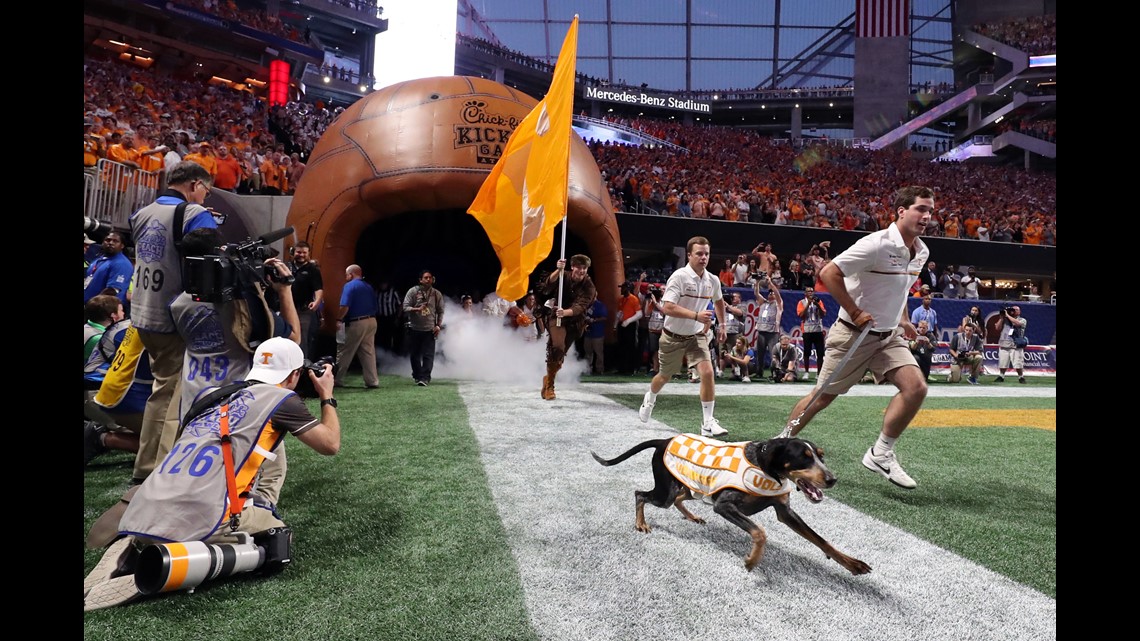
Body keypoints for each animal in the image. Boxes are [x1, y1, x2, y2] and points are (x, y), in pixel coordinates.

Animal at [592, 431, 866, 570]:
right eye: (803, 458)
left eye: (821, 456)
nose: (832, 479)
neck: (766, 468)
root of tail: (664, 441)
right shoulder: (724, 505)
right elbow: (760, 532)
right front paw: (752, 560)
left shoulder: (784, 511)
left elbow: (820, 539)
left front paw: (852, 564)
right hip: (665, 492)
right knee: (640, 494)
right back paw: (641, 523)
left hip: (691, 485)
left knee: (681, 498)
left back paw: (692, 516)